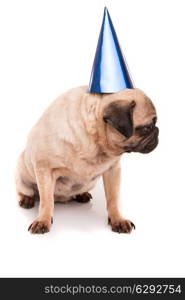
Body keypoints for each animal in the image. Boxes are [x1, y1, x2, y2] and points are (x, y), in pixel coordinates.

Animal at [15, 85, 158, 233]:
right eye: (147, 128)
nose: (157, 131)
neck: (95, 141)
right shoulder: (44, 169)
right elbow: (46, 201)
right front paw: (43, 220)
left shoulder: (113, 171)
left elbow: (113, 199)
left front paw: (117, 219)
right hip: (22, 175)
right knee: (27, 191)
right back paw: (26, 199)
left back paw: (81, 195)